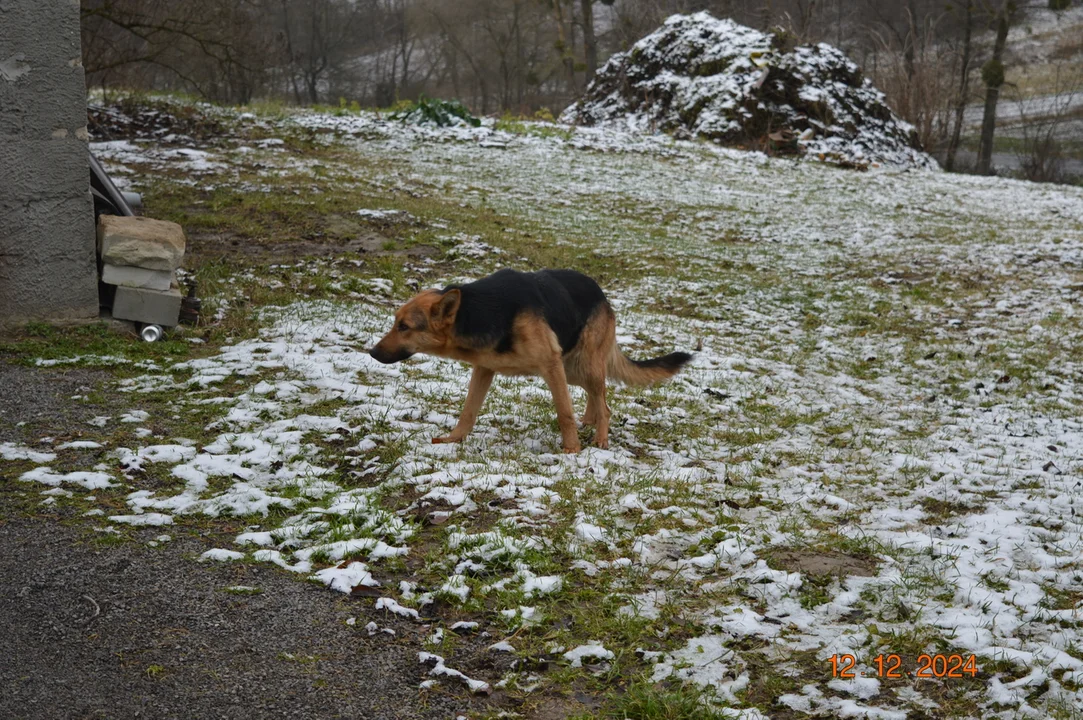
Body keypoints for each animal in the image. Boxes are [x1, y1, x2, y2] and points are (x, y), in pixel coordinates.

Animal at [370, 266, 693, 452]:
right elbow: (468, 411)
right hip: (573, 368)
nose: (371, 353)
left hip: (579, 365)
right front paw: (453, 440)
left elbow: (564, 413)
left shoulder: (550, 366)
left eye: (404, 327)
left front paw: (572, 451)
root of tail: (601, 294)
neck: (477, 312)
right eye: (395, 322)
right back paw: (589, 420)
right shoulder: (484, 368)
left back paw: (600, 436)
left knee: (605, 405)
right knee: (599, 397)